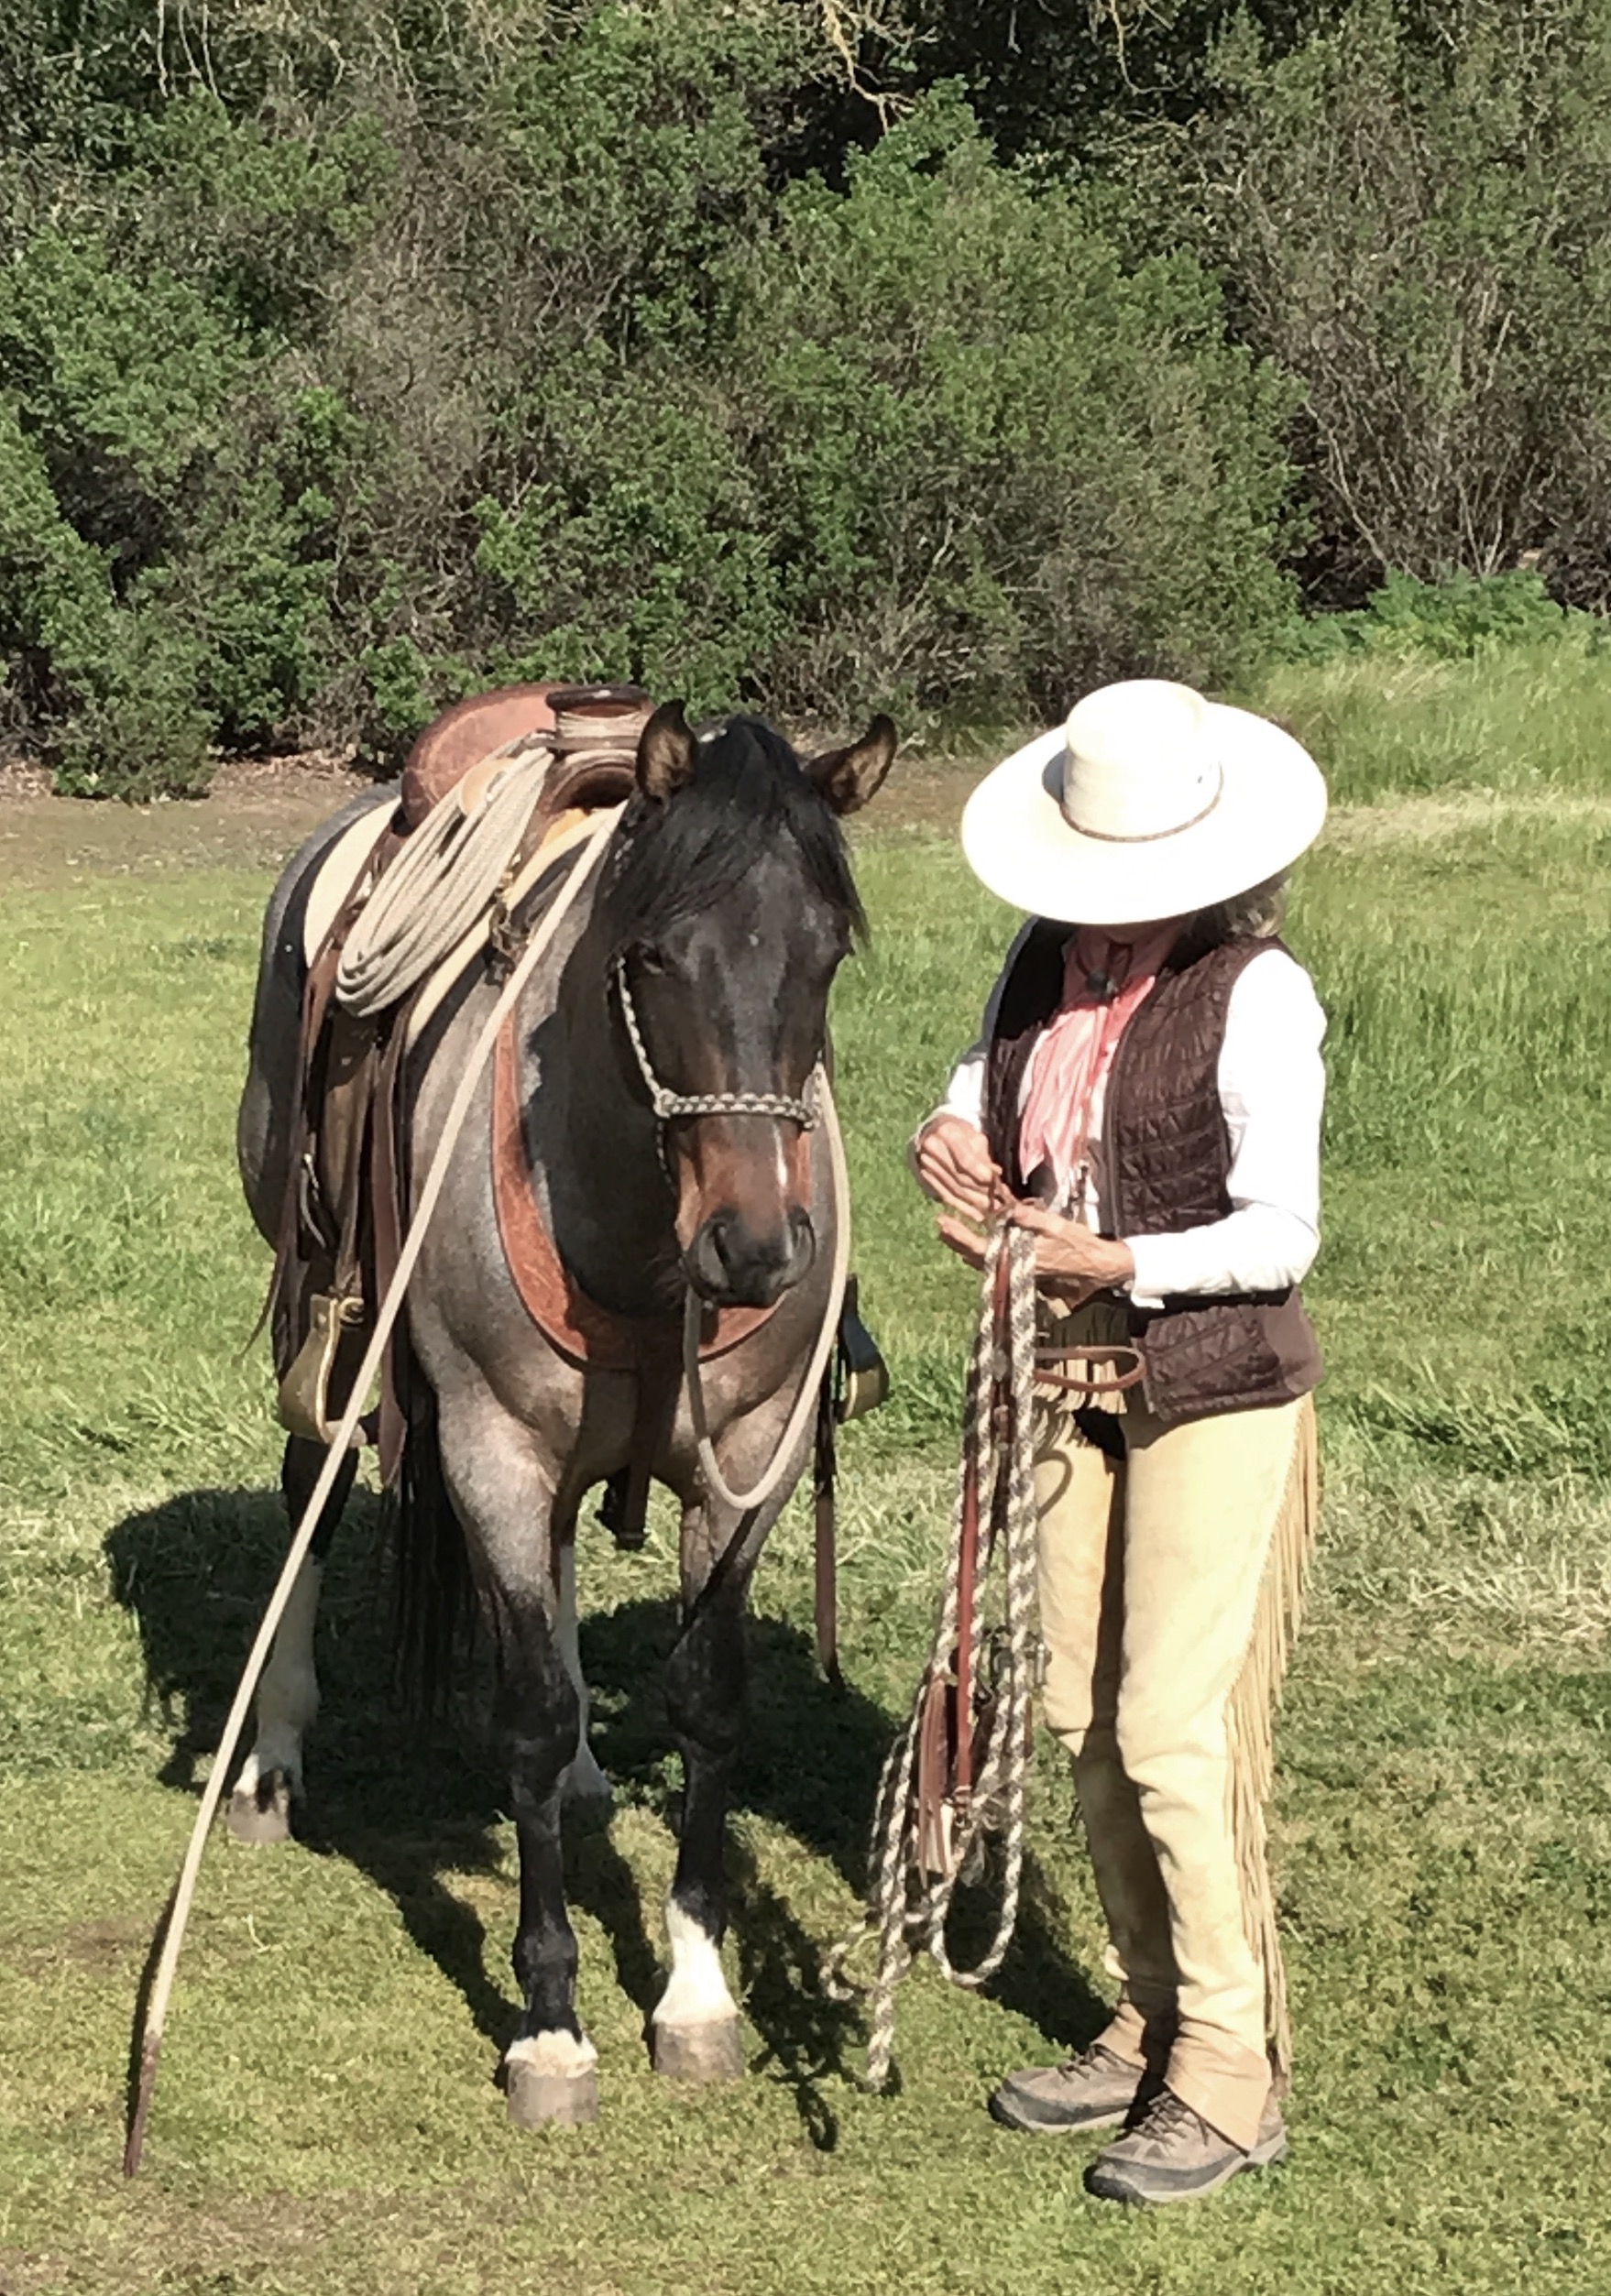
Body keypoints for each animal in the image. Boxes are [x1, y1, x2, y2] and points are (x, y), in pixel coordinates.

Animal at [235, 693, 904, 2112]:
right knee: (312, 1484)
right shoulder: (490, 1444)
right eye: (648, 956)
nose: (756, 1248)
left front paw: (697, 1994)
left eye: (826, 955)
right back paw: (271, 1763)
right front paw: (549, 2020)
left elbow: (707, 1701)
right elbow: (528, 1717)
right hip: (323, 1301)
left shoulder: (745, 1463)